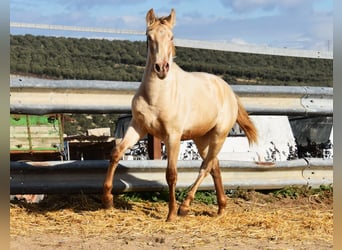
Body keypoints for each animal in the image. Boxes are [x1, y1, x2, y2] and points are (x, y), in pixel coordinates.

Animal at [103, 8, 258, 222]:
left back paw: (185, 207)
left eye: (171, 36)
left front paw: (171, 214)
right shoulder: (138, 127)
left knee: (206, 167)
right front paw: (108, 200)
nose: (161, 68)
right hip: (202, 138)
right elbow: (116, 153)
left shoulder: (173, 136)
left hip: (219, 135)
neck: (156, 96)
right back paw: (220, 208)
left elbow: (171, 174)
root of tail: (228, 90)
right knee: (214, 165)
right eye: (149, 37)